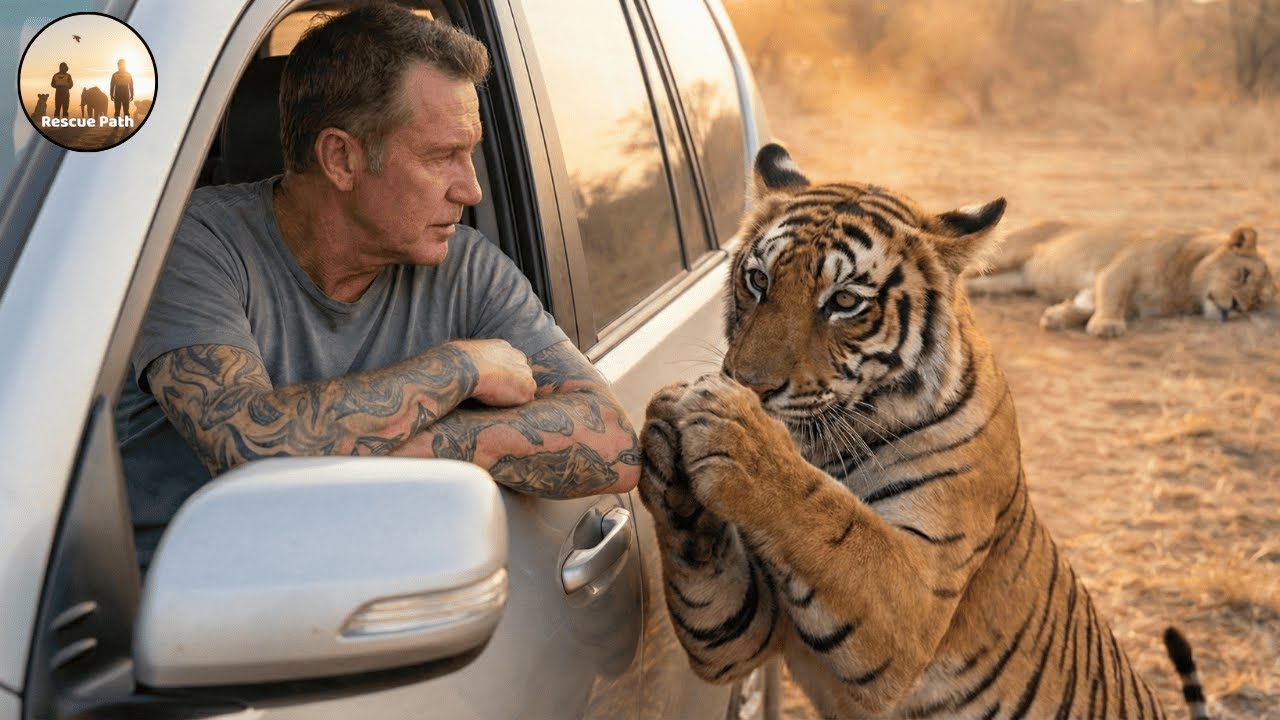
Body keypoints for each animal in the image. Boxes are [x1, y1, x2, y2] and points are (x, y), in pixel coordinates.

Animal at [637, 143, 1209, 719]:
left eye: (844, 302)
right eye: (759, 280)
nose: (748, 384)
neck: (820, 445)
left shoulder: (918, 597)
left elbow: (831, 520)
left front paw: (735, 432)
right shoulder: (748, 635)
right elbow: (712, 582)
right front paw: (665, 428)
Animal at [964, 220, 1277, 338]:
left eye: (1256, 303)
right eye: (1243, 274)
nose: (1235, 307)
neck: (1186, 289)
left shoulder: (1126, 299)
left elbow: (1089, 303)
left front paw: (1059, 314)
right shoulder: (1123, 265)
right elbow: (1113, 295)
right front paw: (1107, 325)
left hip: (1008, 281)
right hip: (1006, 254)